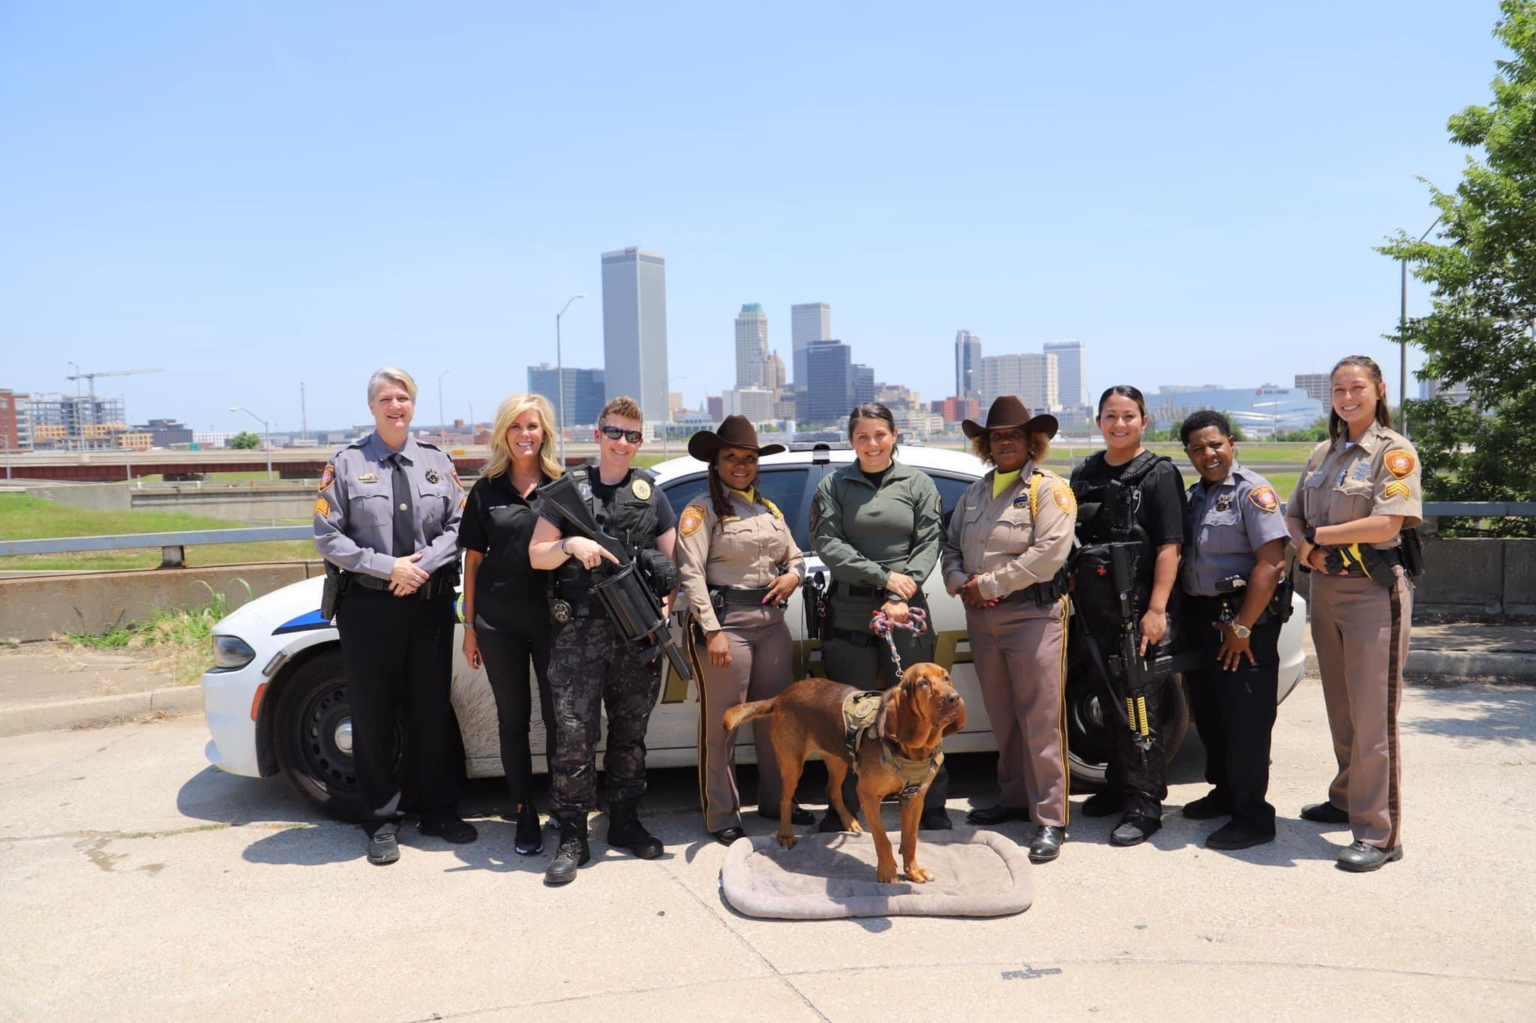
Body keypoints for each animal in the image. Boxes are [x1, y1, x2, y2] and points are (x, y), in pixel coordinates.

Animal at [724, 666, 964, 878]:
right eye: (923, 683)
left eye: (947, 678)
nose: (954, 698)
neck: (913, 749)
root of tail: (781, 696)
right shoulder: (868, 795)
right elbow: (883, 839)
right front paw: (887, 872)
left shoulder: (914, 798)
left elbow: (910, 840)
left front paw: (913, 871)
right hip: (792, 764)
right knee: (784, 799)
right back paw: (785, 835)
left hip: (837, 759)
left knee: (831, 790)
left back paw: (849, 821)